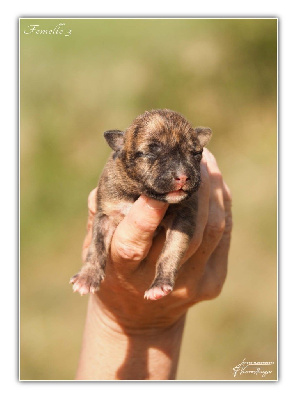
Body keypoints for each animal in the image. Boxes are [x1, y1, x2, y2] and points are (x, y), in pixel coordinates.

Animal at [69, 109, 212, 300]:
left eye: (196, 154)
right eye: (150, 153)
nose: (182, 176)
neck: (139, 194)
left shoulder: (183, 217)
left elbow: (170, 251)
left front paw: (159, 284)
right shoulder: (106, 214)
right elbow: (96, 246)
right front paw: (87, 277)